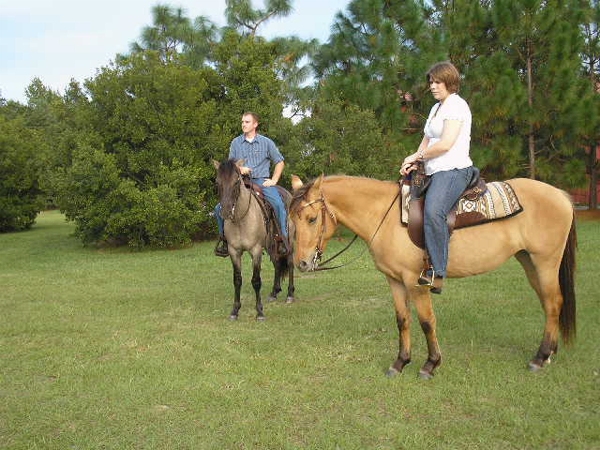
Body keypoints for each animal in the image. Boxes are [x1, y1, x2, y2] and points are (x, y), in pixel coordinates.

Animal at [213, 159, 296, 320]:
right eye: (217, 182)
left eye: (236, 182)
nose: (225, 211)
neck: (241, 219)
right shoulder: (234, 251)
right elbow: (237, 280)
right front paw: (235, 311)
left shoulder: (256, 250)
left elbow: (256, 281)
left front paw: (259, 312)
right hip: (271, 245)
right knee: (277, 263)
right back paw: (274, 292)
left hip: (288, 242)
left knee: (289, 263)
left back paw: (290, 294)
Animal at [290, 174, 576, 378]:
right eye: (292, 219)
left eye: (312, 219)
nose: (302, 263)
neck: (386, 217)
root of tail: (561, 195)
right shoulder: (394, 281)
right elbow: (402, 320)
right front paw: (400, 362)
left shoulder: (415, 282)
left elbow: (427, 321)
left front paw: (430, 364)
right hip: (529, 261)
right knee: (548, 304)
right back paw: (549, 353)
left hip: (545, 262)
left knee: (554, 303)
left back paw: (539, 358)